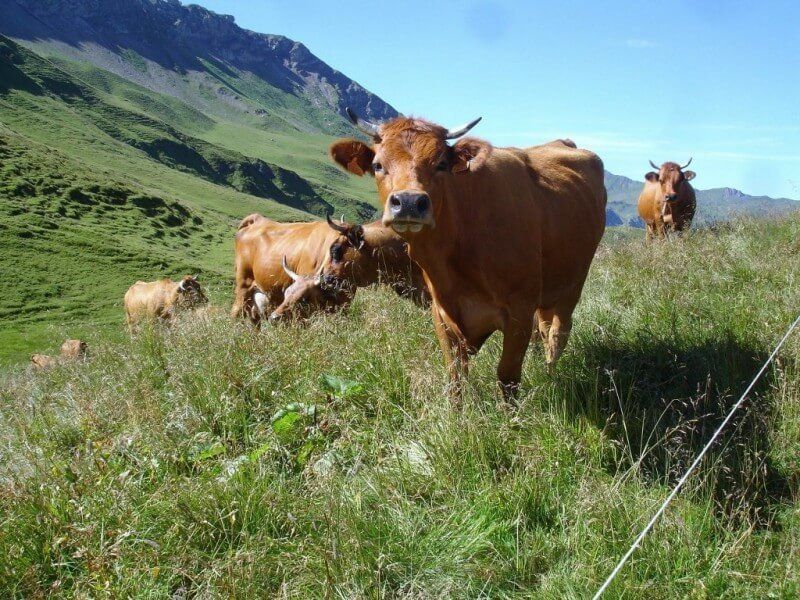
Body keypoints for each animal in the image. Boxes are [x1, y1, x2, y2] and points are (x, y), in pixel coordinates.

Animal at [329, 109, 606, 400]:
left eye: (441, 163)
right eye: (378, 165)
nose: (408, 202)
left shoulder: (519, 310)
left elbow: (507, 378)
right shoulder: (440, 313)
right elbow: (455, 378)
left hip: (574, 283)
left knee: (558, 333)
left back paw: (550, 377)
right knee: (544, 328)